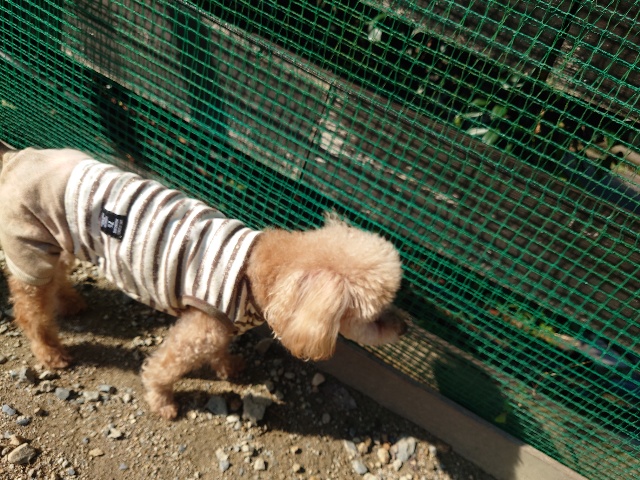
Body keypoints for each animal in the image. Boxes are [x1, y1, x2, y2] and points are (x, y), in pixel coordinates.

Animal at [0, 147, 405, 419]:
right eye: (375, 315)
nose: (403, 325)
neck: (254, 272)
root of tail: (18, 157)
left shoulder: (221, 324)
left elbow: (222, 349)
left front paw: (228, 367)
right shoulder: (200, 328)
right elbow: (163, 367)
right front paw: (162, 400)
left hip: (59, 242)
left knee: (57, 278)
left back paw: (70, 303)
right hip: (30, 250)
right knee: (31, 311)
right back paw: (51, 352)